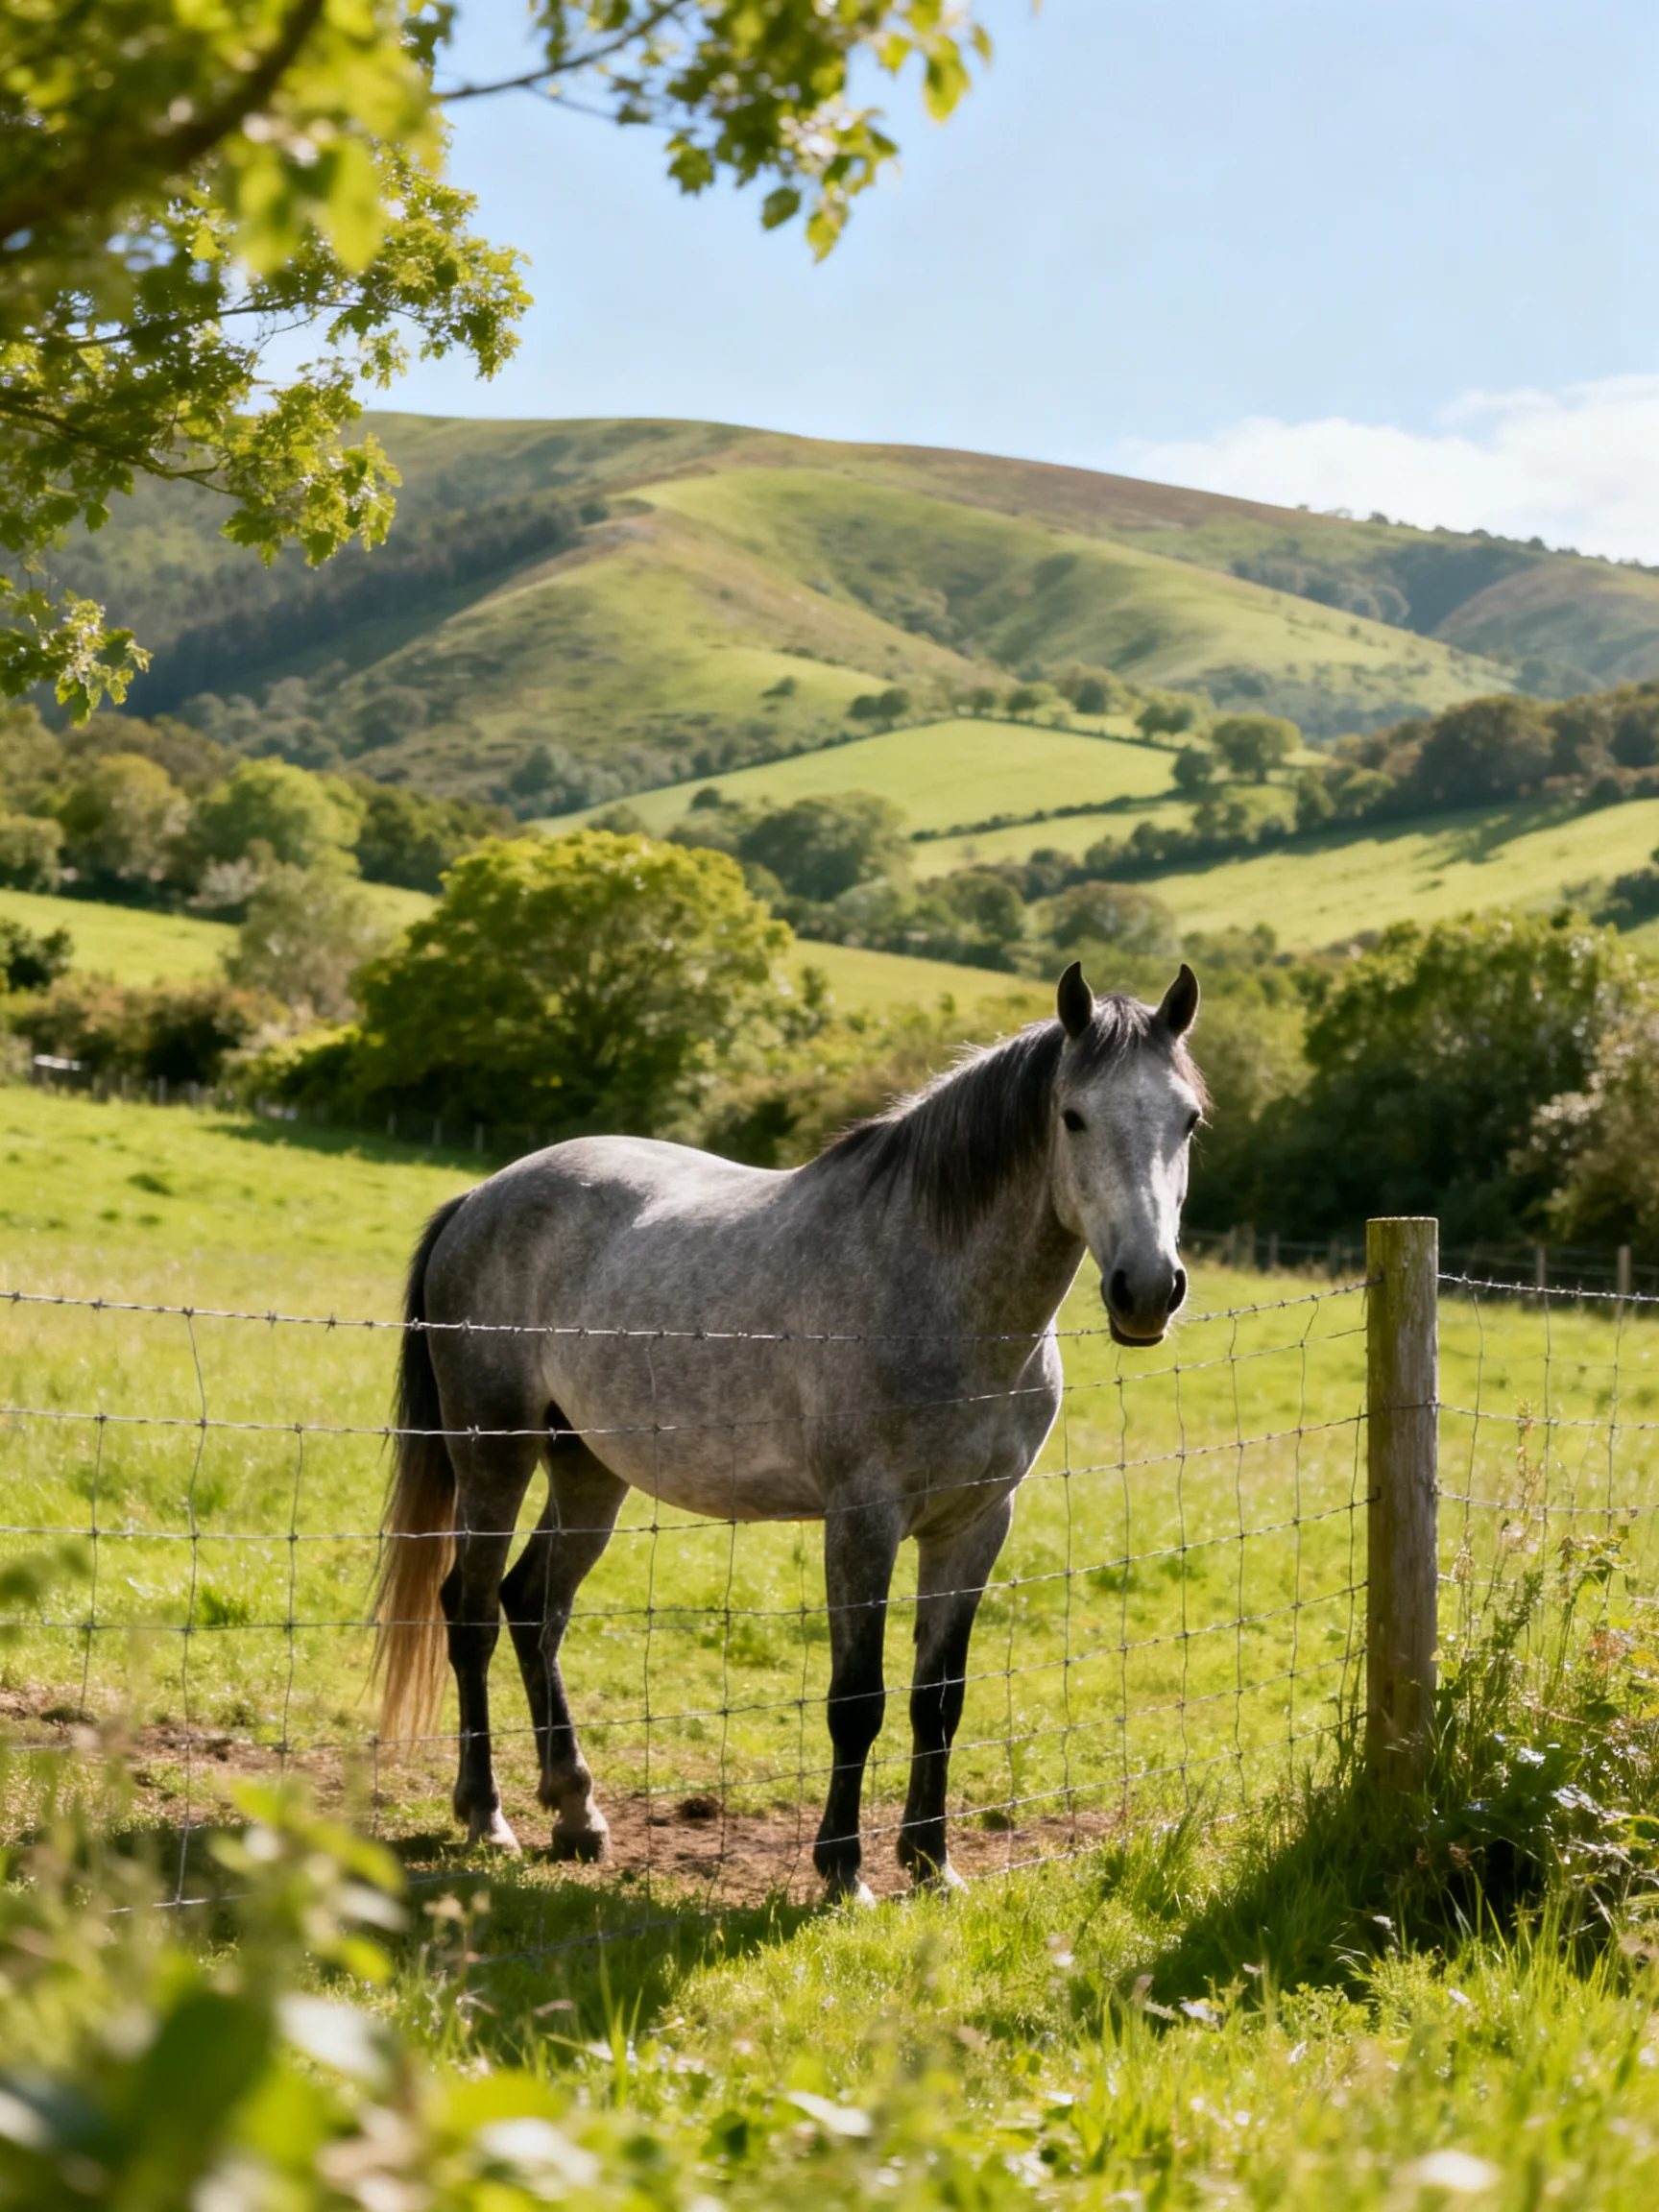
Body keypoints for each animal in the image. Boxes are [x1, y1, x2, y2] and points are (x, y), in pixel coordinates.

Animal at [374, 959, 1204, 1901]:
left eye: (1188, 1119)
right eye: (1073, 1116)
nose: (1147, 1290)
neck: (943, 1296)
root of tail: (481, 1196)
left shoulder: (975, 1525)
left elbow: (938, 1698)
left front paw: (932, 1864)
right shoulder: (863, 1522)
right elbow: (857, 1699)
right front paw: (844, 1871)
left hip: (588, 1469)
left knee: (533, 1607)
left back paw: (576, 1812)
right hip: (494, 1455)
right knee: (471, 1612)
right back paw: (488, 1815)